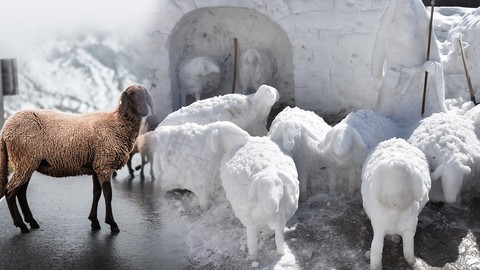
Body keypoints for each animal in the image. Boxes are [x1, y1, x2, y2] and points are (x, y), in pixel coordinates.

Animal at [0, 85, 152, 233]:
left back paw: (32, 222)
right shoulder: (104, 165)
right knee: (10, 192)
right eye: (131, 95)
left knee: (21, 193)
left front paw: (94, 222)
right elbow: (108, 194)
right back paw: (21, 225)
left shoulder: (97, 166)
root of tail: (5, 128)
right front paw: (112, 224)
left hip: (29, 163)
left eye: (146, 94)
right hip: (24, 160)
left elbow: (96, 193)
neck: (116, 123)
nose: (144, 110)